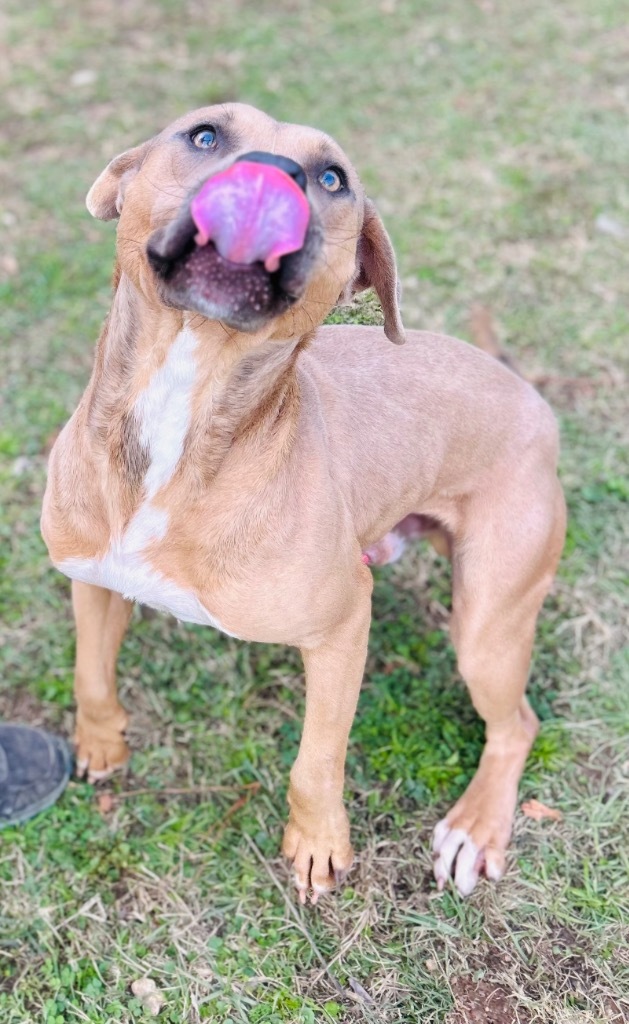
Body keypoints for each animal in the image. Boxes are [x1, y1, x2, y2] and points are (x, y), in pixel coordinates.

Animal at [42, 103, 569, 901]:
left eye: (332, 179)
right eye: (204, 135)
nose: (273, 173)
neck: (184, 410)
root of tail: (528, 395)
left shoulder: (343, 626)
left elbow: (315, 760)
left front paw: (318, 843)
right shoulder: (92, 581)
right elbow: (91, 676)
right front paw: (101, 744)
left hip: (487, 628)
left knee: (517, 726)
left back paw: (475, 828)